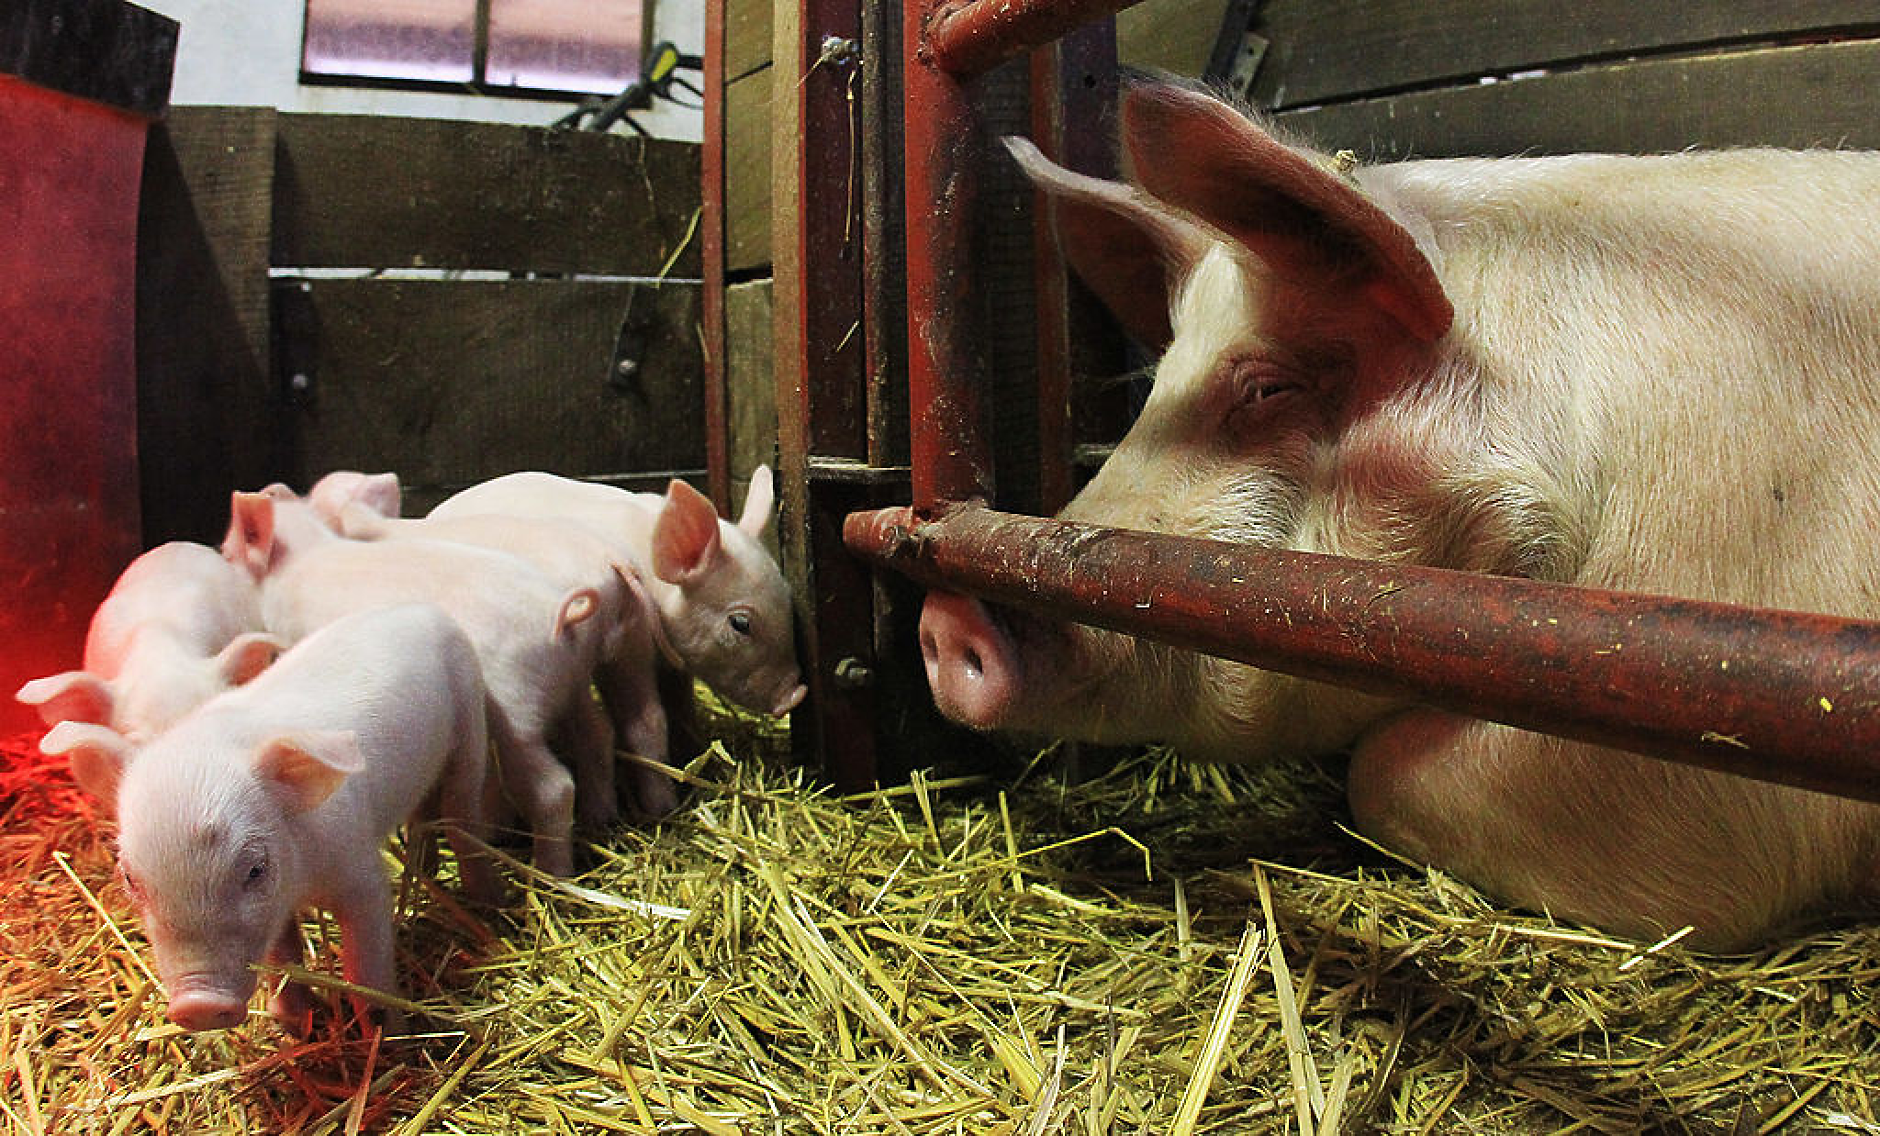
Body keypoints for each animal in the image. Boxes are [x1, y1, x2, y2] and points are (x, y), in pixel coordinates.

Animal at [44, 609, 500, 1030]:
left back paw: (485, 902)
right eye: (129, 878)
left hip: (470, 714)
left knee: (463, 811)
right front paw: (294, 1022)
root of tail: (417, 608)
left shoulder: (360, 872)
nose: (198, 1005)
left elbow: (365, 967)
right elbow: (282, 956)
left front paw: (388, 1038)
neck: (301, 882)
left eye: (255, 869)